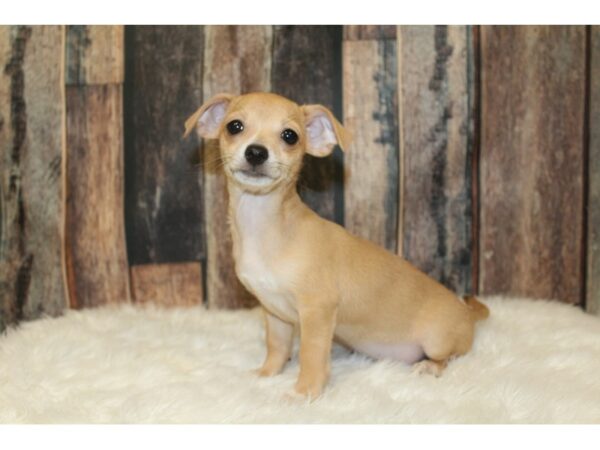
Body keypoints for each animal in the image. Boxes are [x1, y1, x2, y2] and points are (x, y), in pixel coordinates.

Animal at [185, 92, 490, 400]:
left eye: (290, 136)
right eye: (234, 126)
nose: (256, 152)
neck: (264, 224)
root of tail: (467, 313)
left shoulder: (317, 312)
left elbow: (312, 356)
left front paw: (303, 394)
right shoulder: (274, 313)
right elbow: (277, 347)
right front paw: (266, 374)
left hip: (436, 340)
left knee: (449, 357)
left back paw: (429, 367)